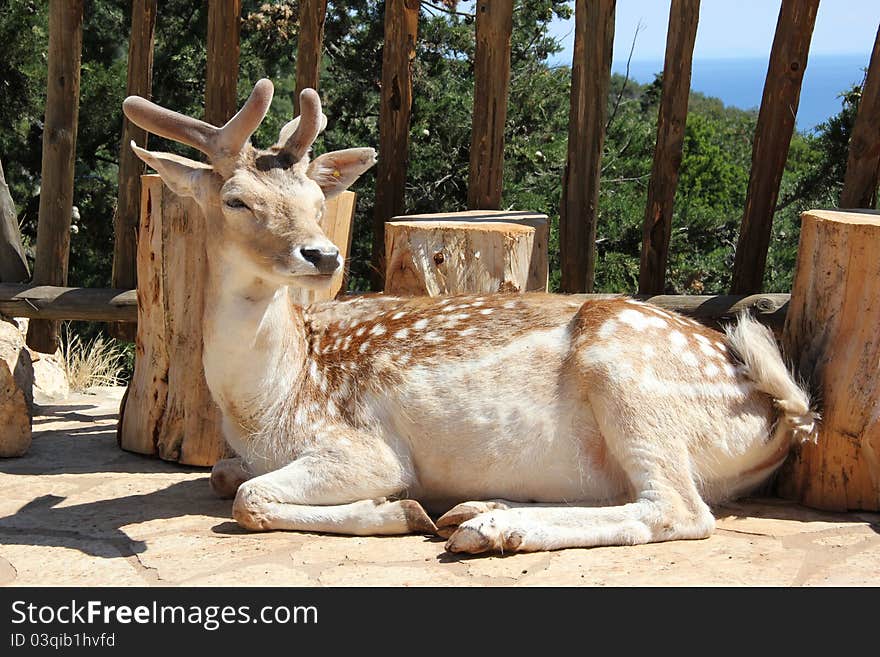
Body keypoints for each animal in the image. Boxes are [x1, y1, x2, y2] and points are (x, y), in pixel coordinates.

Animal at [122, 80, 820, 552]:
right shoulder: (244, 452)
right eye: (235, 200)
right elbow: (223, 474)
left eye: (319, 200)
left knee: (679, 509)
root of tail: (779, 410)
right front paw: (412, 511)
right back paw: (471, 509)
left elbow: (248, 498)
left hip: (627, 376)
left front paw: (398, 511)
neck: (266, 404)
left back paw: (488, 527)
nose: (322, 254)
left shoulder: (363, 447)